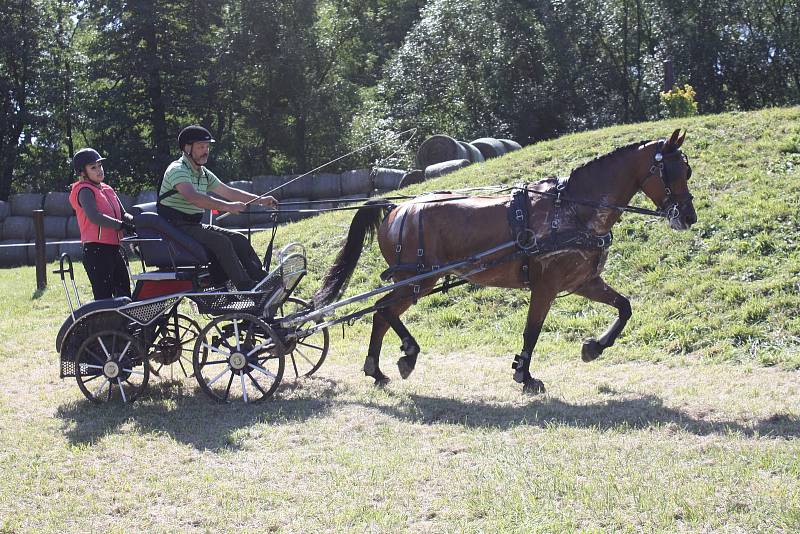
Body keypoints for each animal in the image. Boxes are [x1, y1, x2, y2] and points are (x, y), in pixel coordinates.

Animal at [312, 130, 692, 394]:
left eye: (686, 170)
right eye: (671, 172)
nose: (689, 217)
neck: (572, 209)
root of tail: (395, 206)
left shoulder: (584, 281)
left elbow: (625, 307)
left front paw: (594, 347)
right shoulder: (546, 286)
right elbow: (532, 330)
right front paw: (525, 374)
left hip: (415, 281)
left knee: (380, 314)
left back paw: (377, 371)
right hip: (418, 280)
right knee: (383, 309)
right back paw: (407, 352)